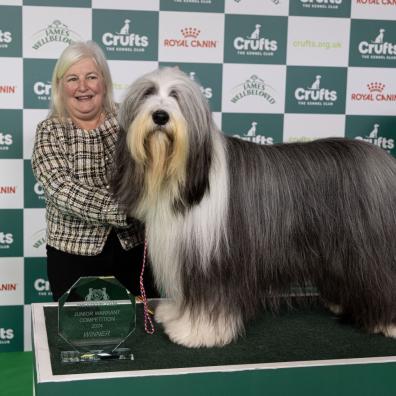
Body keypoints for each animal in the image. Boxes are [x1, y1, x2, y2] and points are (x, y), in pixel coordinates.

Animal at [110, 67, 396, 346]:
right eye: (148, 93)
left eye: (176, 96)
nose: (160, 116)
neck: (185, 175)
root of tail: (384, 160)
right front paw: (175, 314)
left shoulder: (211, 256)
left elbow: (210, 297)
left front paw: (197, 332)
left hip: (369, 248)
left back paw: (387, 323)